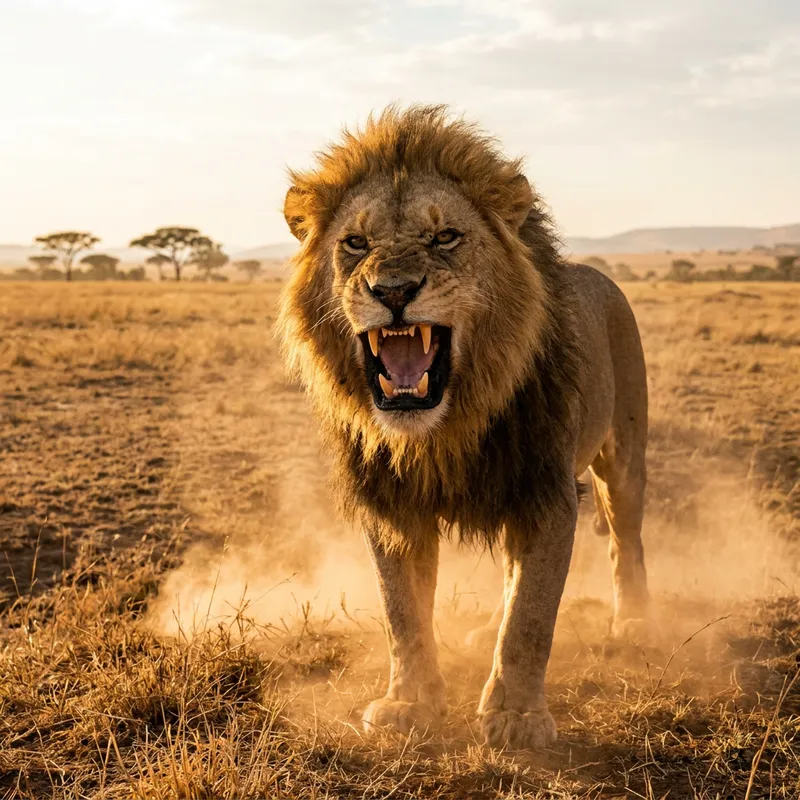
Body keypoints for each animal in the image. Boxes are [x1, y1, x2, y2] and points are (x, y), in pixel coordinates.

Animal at [277, 105, 649, 750]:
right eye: (356, 243)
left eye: (445, 237)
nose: (393, 290)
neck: (441, 429)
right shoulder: (391, 503)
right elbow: (401, 611)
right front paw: (409, 703)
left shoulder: (545, 492)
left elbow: (531, 614)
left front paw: (517, 716)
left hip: (622, 454)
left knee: (627, 538)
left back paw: (634, 621)